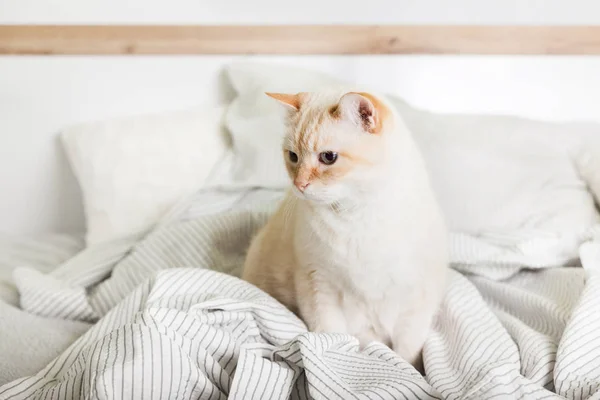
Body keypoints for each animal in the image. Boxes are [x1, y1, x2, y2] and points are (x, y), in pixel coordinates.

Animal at [241, 88, 448, 368]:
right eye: (293, 157)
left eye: (328, 157)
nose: (299, 185)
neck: (355, 217)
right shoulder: (318, 284)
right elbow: (333, 337)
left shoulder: (415, 300)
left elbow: (407, 355)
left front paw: (413, 372)